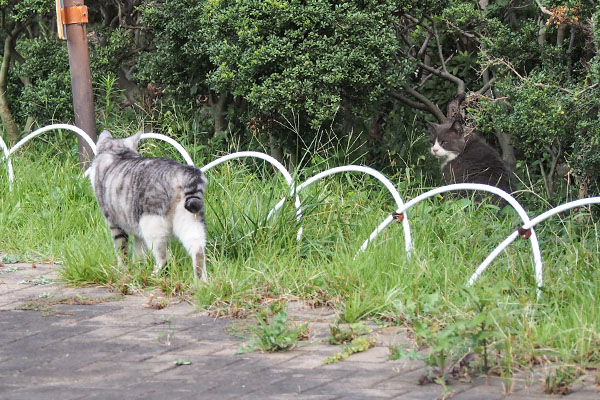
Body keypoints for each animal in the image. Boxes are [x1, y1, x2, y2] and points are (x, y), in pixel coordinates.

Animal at [88, 131, 210, 282]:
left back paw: (154, 276)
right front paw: (138, 269)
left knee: (164, 259)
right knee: (198, 252)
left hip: (151, 224)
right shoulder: (135, 228)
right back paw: (201, 282)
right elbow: (139, 251)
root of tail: (181, 171)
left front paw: (124, 270)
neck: (118, 152)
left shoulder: (114, 222)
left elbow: (122, 250)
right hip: (190, 221)